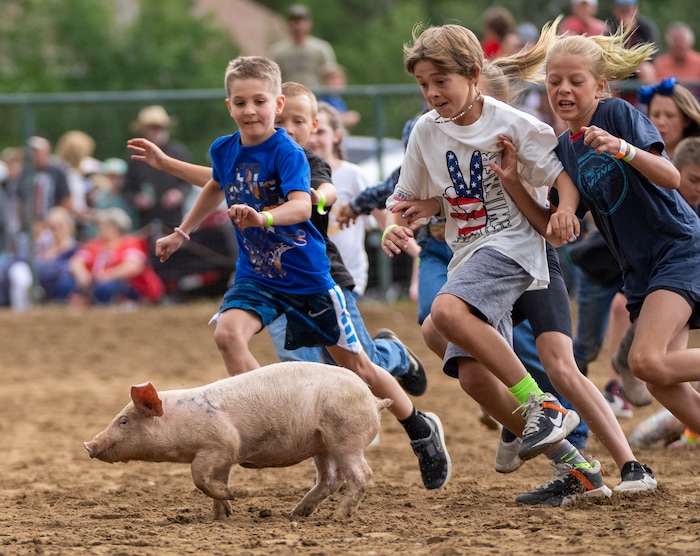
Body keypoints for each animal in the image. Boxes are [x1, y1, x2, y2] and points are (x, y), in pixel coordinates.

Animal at [84, 360, 392, 520]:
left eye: (124, 421)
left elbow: (199, 477)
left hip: (346, 439)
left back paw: (337, 517)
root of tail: (375, 400)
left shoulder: (221, 446)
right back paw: (295, 514)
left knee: (362, 476)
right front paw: (222, 515)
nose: (88, 445)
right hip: (322, 444)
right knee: (330, 479)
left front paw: (232, 498)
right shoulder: (221, 459)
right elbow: (215, 482)